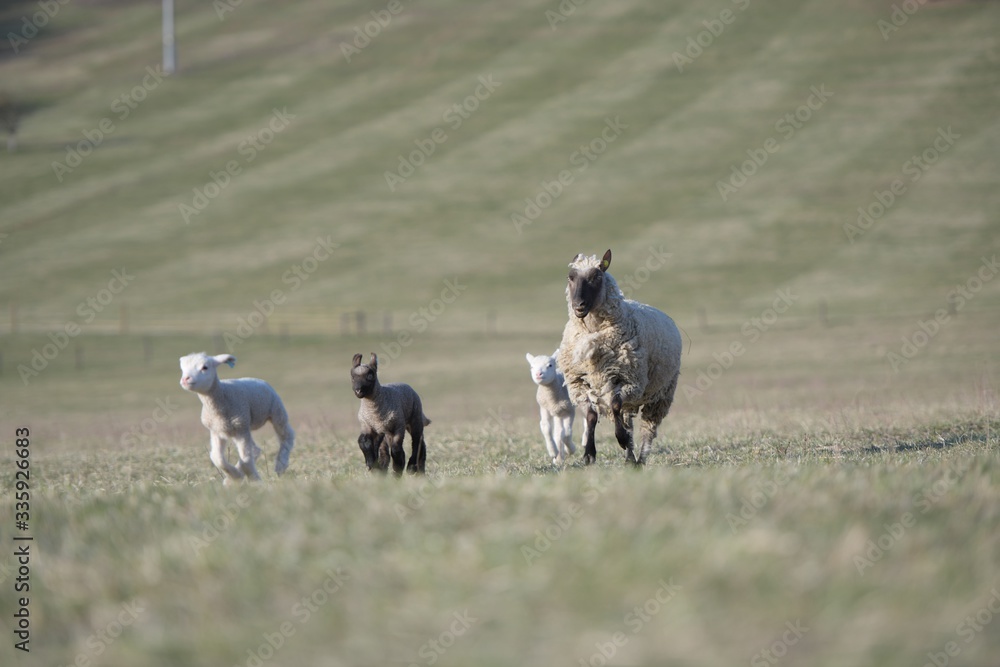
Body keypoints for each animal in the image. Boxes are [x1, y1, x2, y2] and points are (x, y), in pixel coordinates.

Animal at [179, 352, 294, 483]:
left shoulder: (241, 428)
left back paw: (281, 465)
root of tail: (257, 379)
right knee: (255, 449)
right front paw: (234, 477)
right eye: (182, 369)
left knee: (287, 436)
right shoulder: (217, 431)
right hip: (238, 428)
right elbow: (217, 458)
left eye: (205, 367)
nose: (185, 379)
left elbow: (246, 460)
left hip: (276, 411)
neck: (223, 395)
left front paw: (254, 479)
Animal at [557, 249, 681, 466]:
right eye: (570, 277)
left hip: (661, 393)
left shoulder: (630, 379)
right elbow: (591, 415)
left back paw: (640, 459)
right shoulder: (578, 383)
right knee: (628, 421)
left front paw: (621, 439)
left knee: (648, 429)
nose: (578, 306)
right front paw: (589, 454)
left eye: (596, 277)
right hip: (631, 398)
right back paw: (630, 458)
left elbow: (615, 405)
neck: (593, 333)